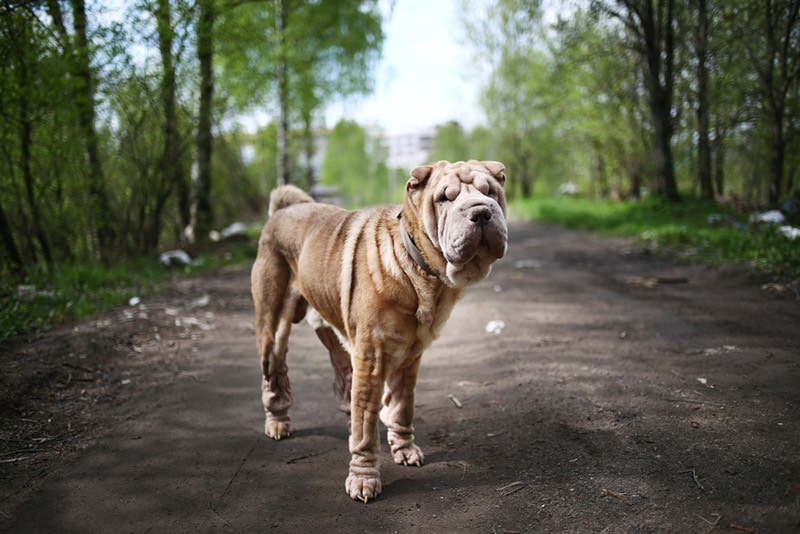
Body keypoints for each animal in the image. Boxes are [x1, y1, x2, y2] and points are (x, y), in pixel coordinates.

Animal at [252, 159, 506, 502]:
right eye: (445, 198)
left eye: (490, 191)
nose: (480, 212)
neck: (419, 269)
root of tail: (282, 211)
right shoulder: (372, 356)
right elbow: (366, 427)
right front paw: (363, 478)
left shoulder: (410, 356)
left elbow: (401, 407)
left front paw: (404, 448)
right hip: (273, 325)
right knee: (275, 372)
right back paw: (278, 422)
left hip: (333, 326)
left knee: (342, 370)